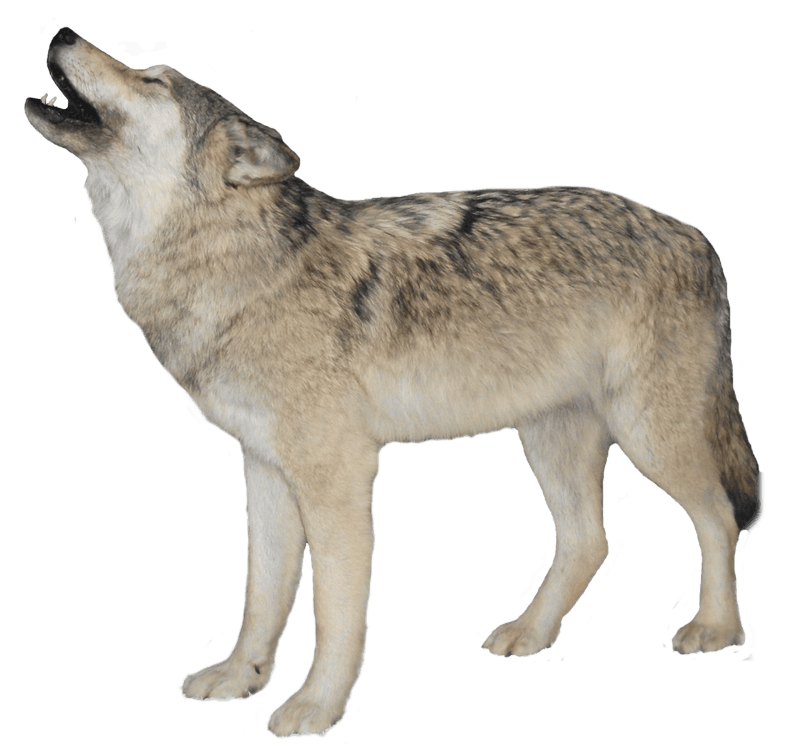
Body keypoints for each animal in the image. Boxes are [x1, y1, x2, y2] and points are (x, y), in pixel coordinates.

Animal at [25, 27, 764, 739]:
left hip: (648, 435)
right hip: (550, 439)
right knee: (590, 540)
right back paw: (531, 632)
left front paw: (315, 707)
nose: (61, 30)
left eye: (152, 78)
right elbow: (262, 594)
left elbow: (334, 613)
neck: (235, 266)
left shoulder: (337, 475)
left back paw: (718, 629)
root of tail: (695, 234)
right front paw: (241, 676)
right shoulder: (264, 466)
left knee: (718, 517)